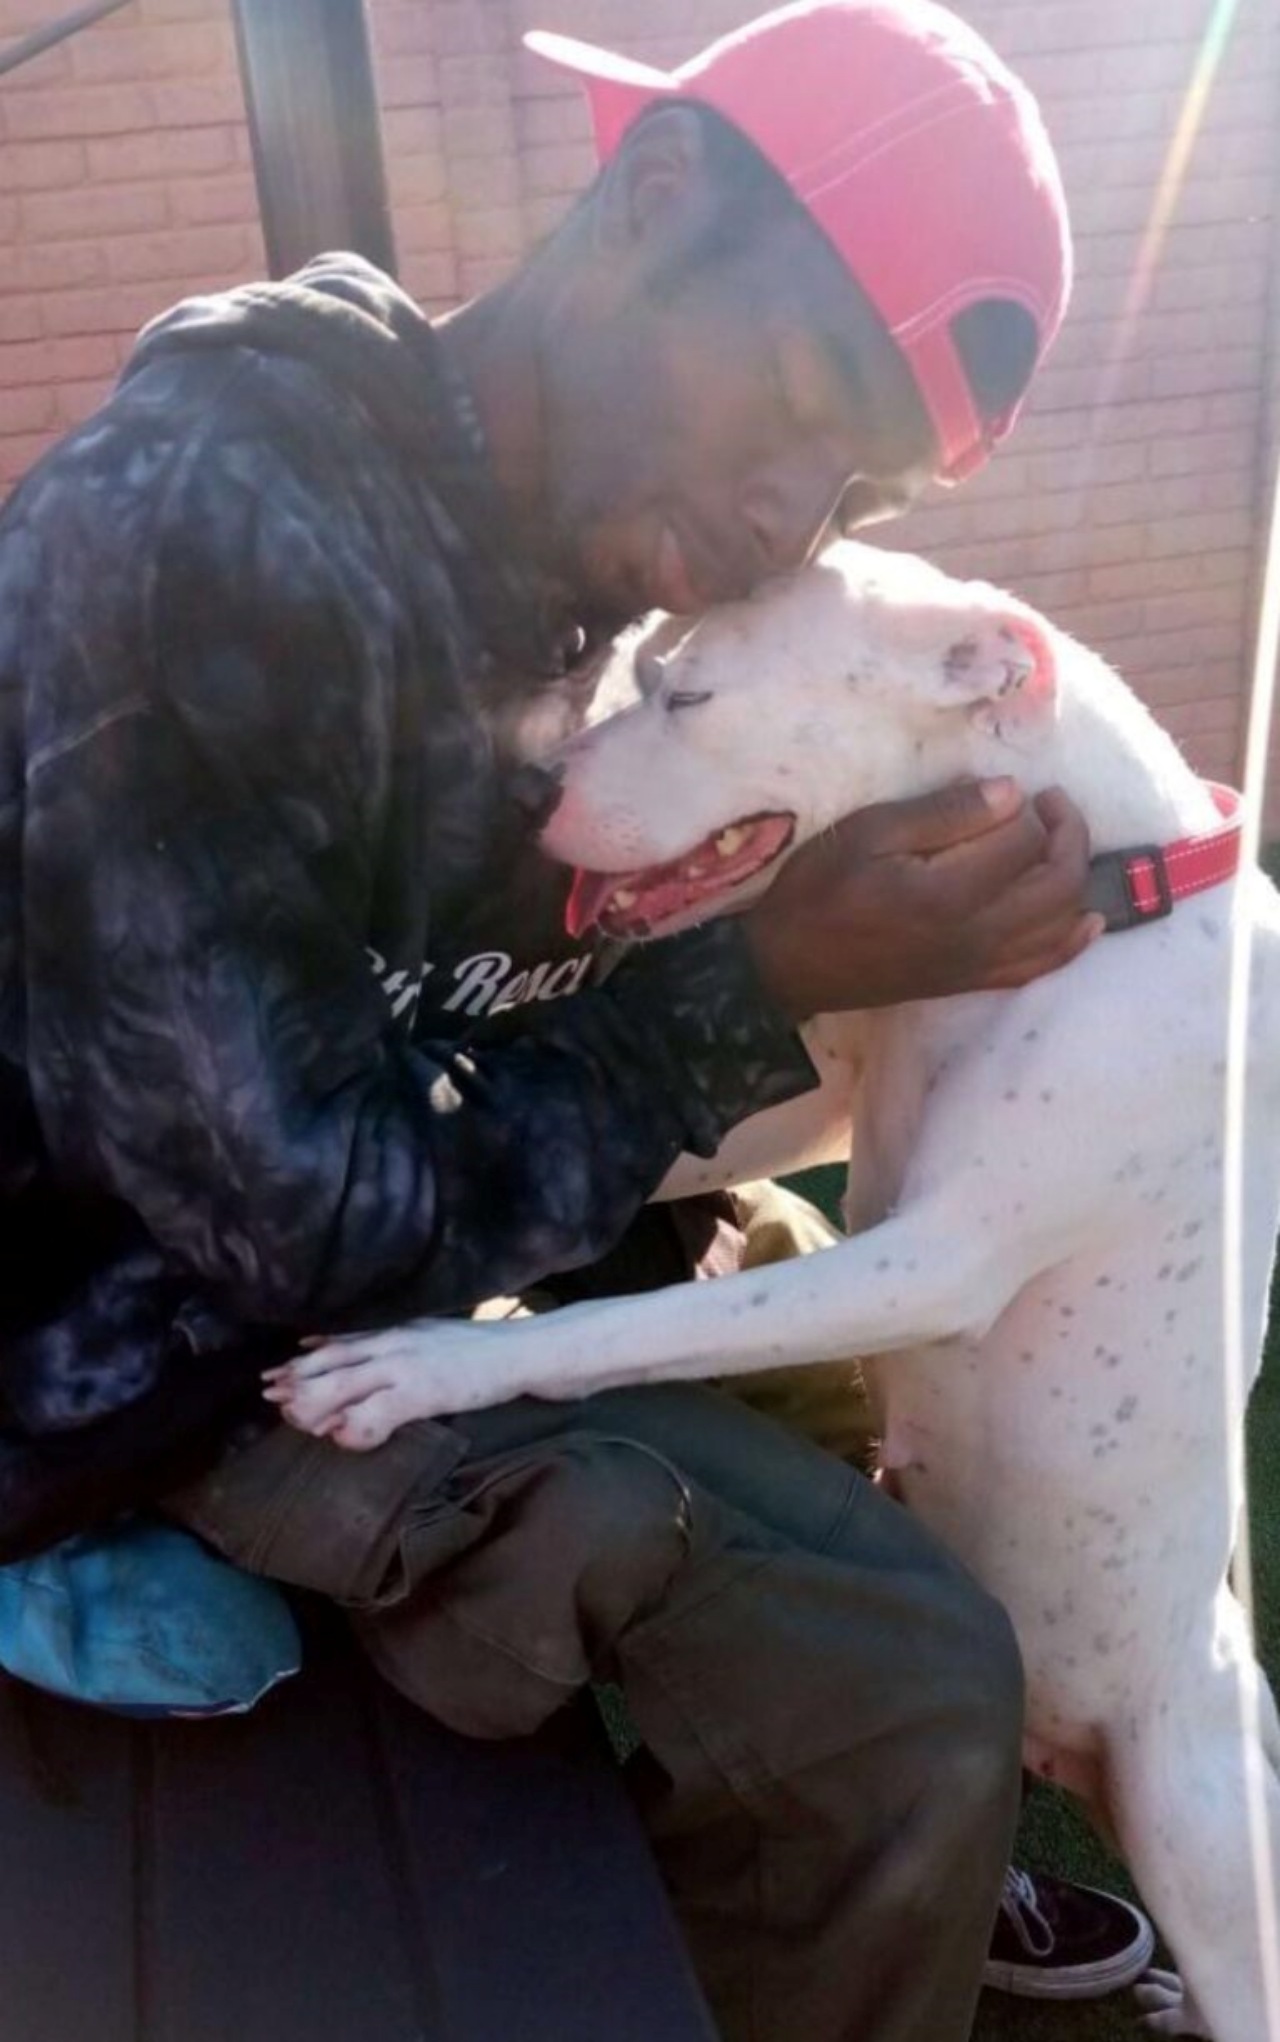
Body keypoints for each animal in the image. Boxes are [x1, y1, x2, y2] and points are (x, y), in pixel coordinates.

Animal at [273, 543, 1280, 2042]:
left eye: (686, 692)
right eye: (634, 663)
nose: (526, 791)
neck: (1112, 875)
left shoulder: (932, 1256)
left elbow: (633, 1322)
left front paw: (417, 1366)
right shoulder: (803, 1106)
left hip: (1197, 1824)